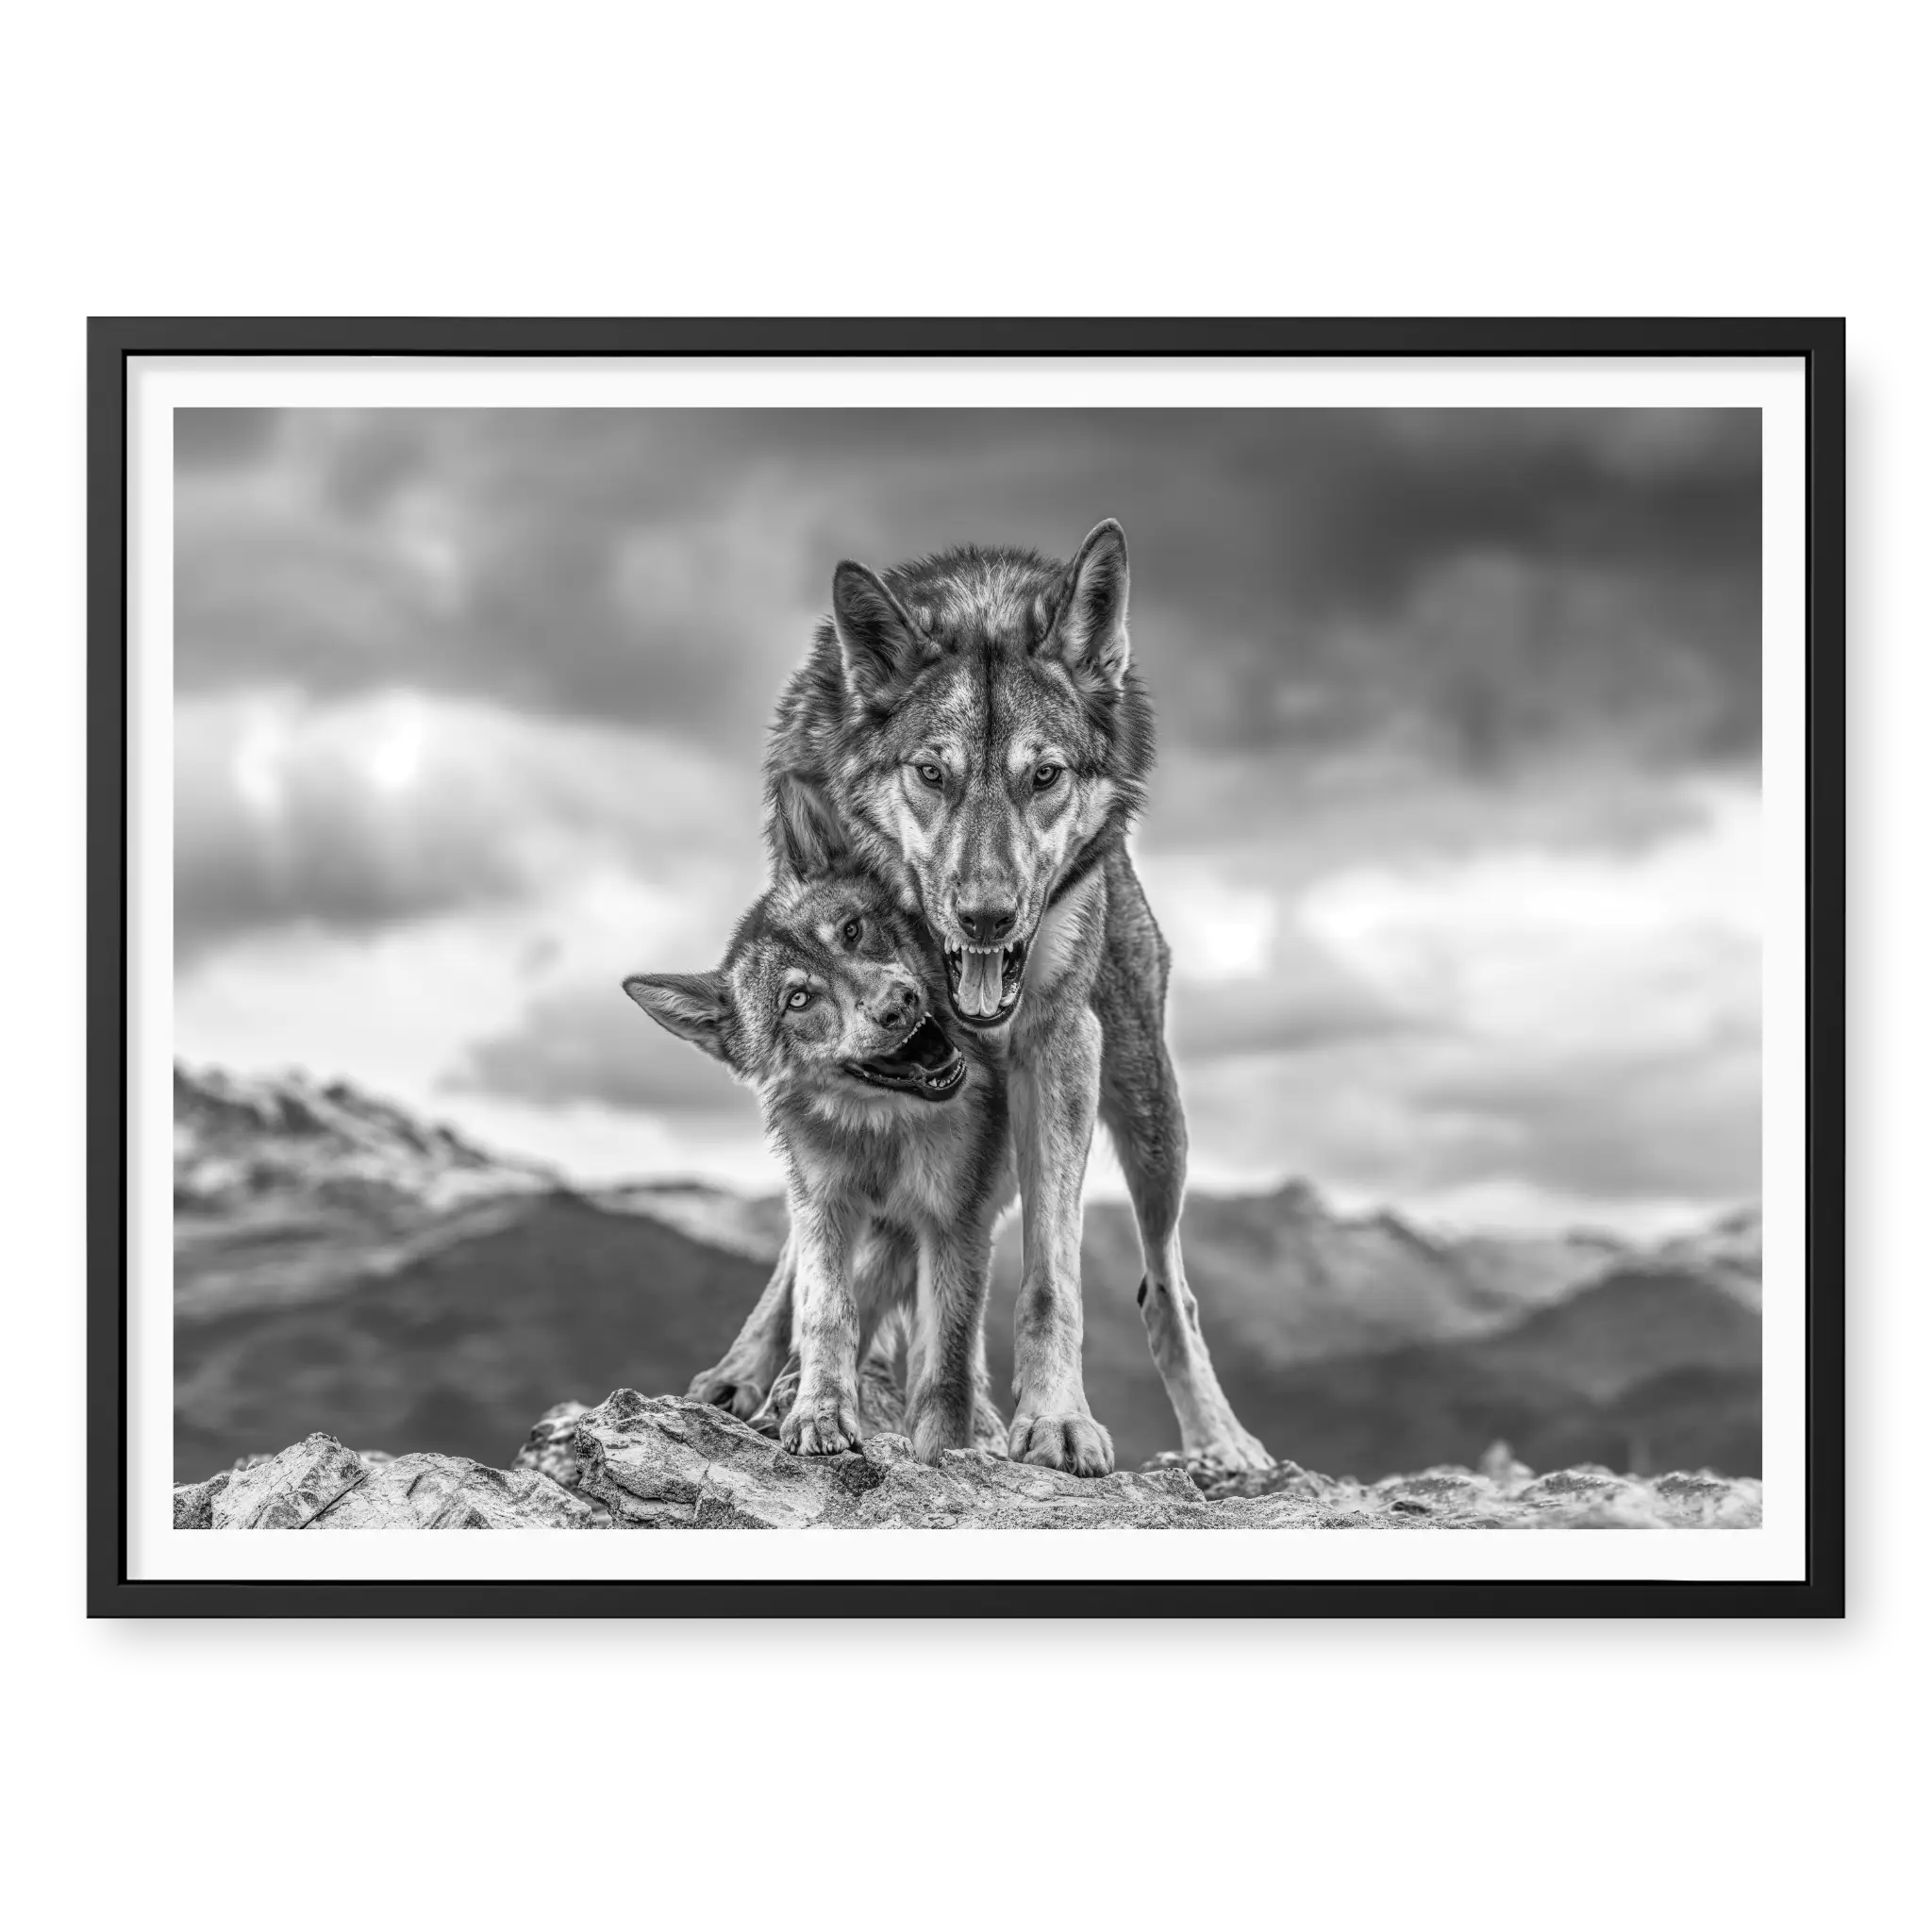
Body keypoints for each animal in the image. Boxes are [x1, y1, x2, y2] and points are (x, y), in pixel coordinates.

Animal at [626, 855, 1011, 1464]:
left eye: (852, 932)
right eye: (798, 1000)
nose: (898, 1004)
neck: (882, 1132)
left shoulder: (955, 1220)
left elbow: (945, 1360)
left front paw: (943, 1453)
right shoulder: (824, 1204)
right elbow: (827, 1310)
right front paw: (819, 1411)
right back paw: (742, 1380)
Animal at [693, 520, 1269, 1477]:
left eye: (1045, 776)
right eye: (933, 773)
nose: (988, 916)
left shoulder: (1059, 1047)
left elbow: (1051, 1274)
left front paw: (1055, 1419)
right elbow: (821, 1256)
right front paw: (812, 1389)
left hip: (1153, 1119)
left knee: (1167, 1291)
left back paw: (1222, 1442)